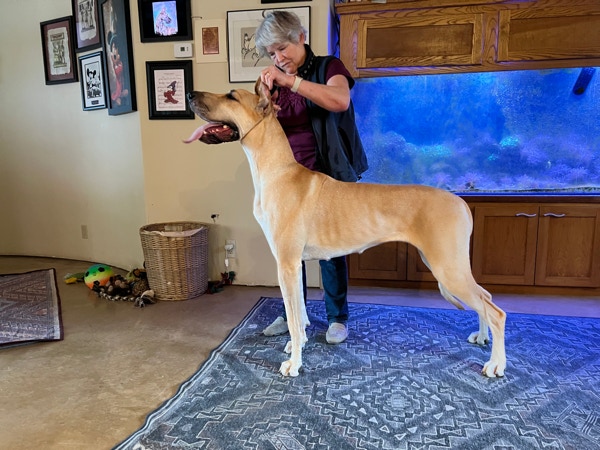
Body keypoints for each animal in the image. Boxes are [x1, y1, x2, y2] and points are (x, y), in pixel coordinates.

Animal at [184, 81, 507, 379]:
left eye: (231, 96)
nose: (190, 94)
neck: (276, 170)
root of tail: (461, 202)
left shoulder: (286, 264)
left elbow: (292, 318)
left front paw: (294, 363)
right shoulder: (295, 265)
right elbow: (299, 314)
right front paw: (298, 345)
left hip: (448, 268)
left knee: (496, 311)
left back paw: (496, 364)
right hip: (447, 265)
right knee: (485, 298)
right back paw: (482, 337)